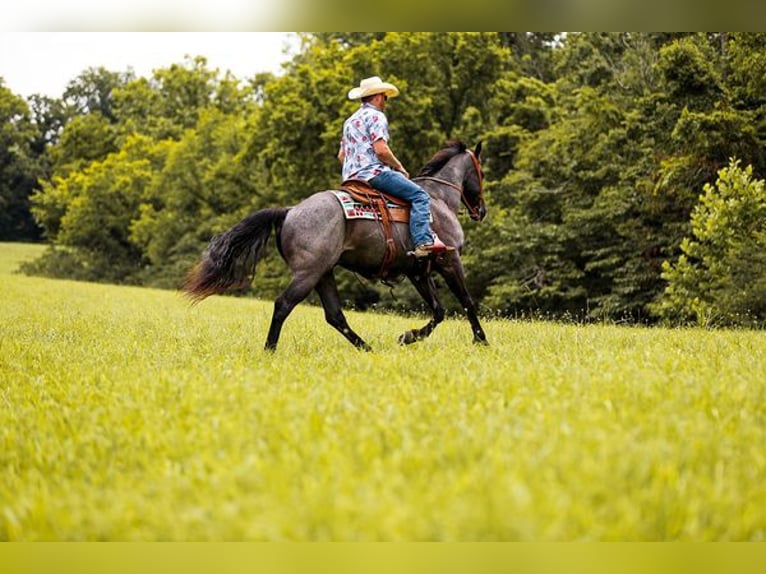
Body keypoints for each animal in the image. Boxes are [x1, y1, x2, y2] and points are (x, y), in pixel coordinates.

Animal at [183, 142, 488, 354]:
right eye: (481, 172)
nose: (481, 211)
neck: (438, 199)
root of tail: (289, 210)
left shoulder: (418, 272)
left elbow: (438, 310)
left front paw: (408, 336)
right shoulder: (450, 259)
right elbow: (465, 301)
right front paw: (481, 340)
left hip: (323, 273)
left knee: (334, 315)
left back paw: (367, 349)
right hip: (308, 274)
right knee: (284, 304)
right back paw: (269, 350)